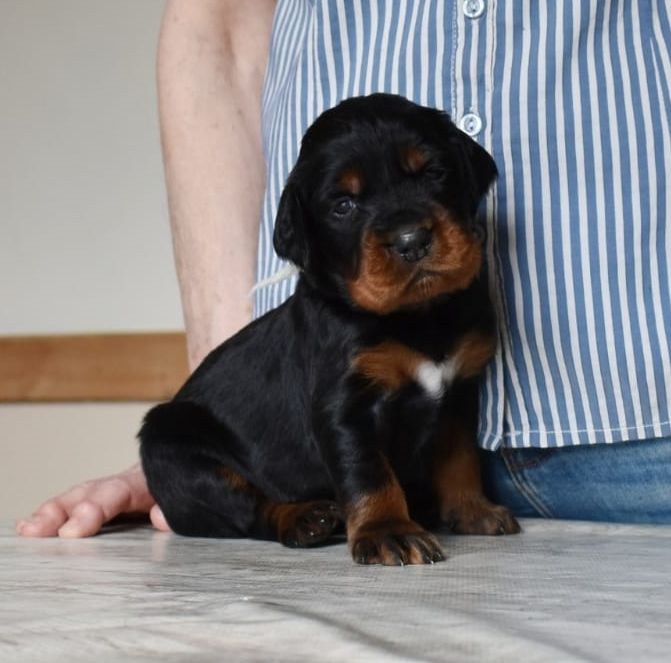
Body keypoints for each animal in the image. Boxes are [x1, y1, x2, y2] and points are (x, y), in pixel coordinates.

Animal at [139, 92, 524, 564]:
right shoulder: (345, 406)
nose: (412, 240)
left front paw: (472, 509)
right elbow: (369, 471)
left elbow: (459, 458)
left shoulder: (459, 394)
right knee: (247, 508)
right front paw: (388, 531)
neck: (418, 316)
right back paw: (304, 518)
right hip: (173, 449)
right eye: (344, 206)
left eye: (434, 173)